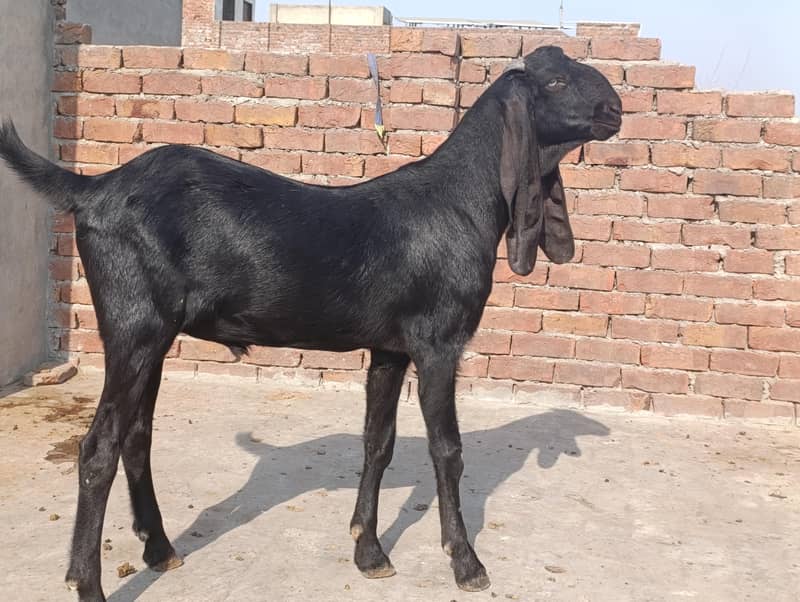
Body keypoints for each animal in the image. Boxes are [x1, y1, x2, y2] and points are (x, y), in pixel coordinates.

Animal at [0, 46, 621, 601]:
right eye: (556, 81)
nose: (615, 108)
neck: (458, 203)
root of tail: (93, 189)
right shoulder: (437, 342)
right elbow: (447, 449)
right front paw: (466, 563)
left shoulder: (391, 348)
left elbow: (378, 442)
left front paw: (369, 551)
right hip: (134, 326)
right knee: (98, 447)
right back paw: (88, 584)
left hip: (150, 336)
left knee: (136, 435)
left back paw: (160, 548)